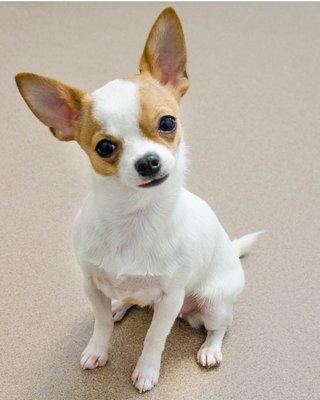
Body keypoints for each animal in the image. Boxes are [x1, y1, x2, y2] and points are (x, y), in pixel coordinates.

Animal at [15, 7, 262, 394]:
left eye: (167, 123)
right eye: (105, 147)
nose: (148, 162)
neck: (133, 217)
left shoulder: (171, 298)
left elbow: (154, 338)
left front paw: (146, 371)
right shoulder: (91, 284)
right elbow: (100, 322)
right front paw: (97, 349)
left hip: (212, 302)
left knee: (221, 325)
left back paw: (209, 349)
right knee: (126, 303)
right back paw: (120, 305)